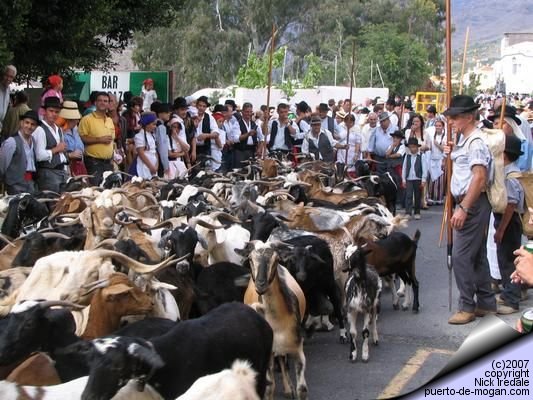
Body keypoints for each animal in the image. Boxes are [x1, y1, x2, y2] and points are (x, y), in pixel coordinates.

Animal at [237, 241, 308, 400]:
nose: (261, 284)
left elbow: (302, 389)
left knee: (282, 360)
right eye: (250, 259)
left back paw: (288, 389)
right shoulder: (268, 354)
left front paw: (293, 390)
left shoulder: (297, 349)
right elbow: (270, 387)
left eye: (276, 259)